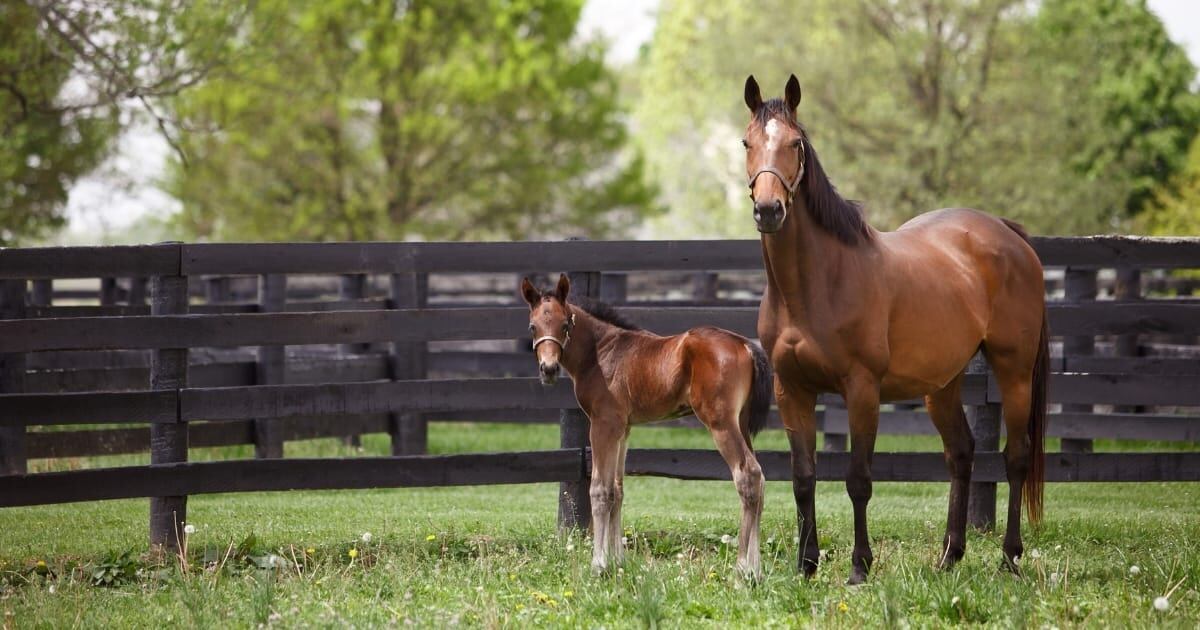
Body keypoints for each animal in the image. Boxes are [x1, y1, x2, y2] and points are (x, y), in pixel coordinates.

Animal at [520, 274, 775, 578]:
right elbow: (617, 489)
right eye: (533, 326)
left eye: (564, 325)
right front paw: (618, 562)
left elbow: (600, 490)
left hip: (721, 423)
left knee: (747, 476)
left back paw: (744, 570)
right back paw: (756, 568)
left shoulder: (603, 424)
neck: (600, 353)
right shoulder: (623, 429)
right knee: (760, 480)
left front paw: (599, 565)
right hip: (742, 423)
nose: (548, 369)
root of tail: (745, 345)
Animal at [742, 74, 1048, 584]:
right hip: (941, 384)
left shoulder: (862, 389)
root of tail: (1008, 235)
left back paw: (1009, 558)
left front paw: (859, 567)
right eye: (747, 142)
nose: (769, 209)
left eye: (795, 143)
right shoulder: (793, 390)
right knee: (961, 453)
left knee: (1016, 456)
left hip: (1015, 370)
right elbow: (803, 479)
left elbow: (859, 480)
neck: (817, 283)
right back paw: (950, 557)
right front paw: (806, 566)